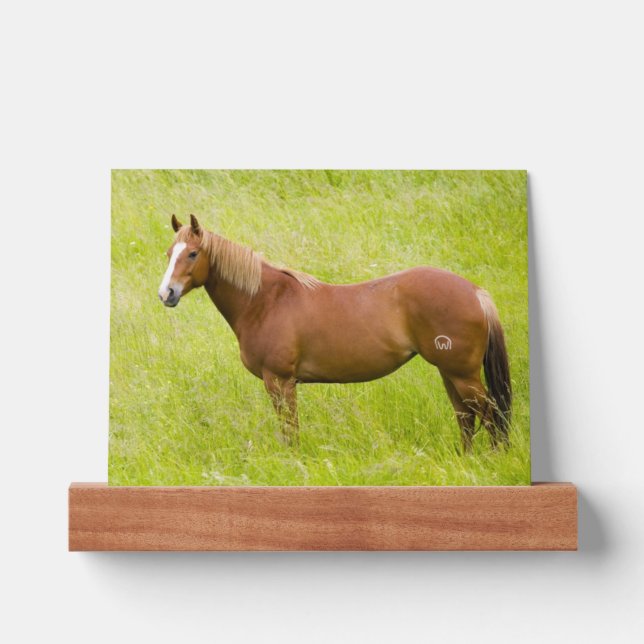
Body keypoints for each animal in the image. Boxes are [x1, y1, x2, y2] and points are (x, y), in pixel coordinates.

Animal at [158, 214, 512, 453]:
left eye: (192, 253)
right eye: (169, 253)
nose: (167, 294)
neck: (265, 300)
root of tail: (475, 292)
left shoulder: (280, 381)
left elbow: (289, 429)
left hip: (462, 374)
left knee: (490, 414)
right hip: (449, 373)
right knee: (466, 416)